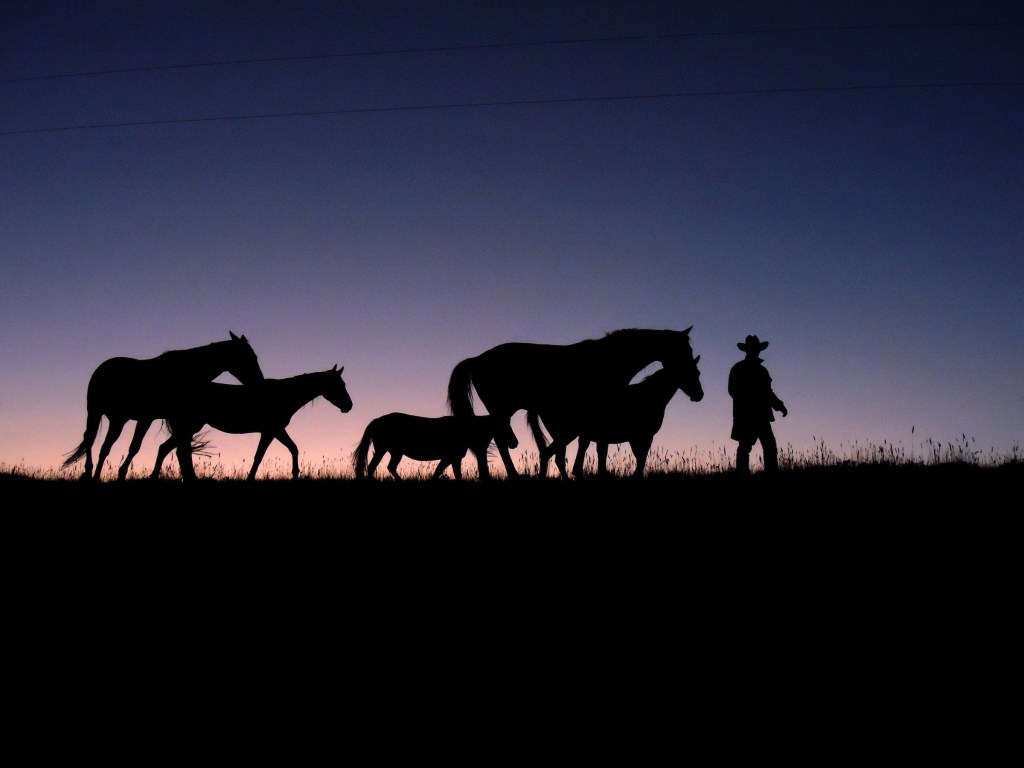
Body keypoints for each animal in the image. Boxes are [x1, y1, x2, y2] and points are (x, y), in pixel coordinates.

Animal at [60, 331, 264, 481]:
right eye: (249, 357)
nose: (260, 382)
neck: (184, 373)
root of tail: (104, 366)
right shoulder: (149, 418)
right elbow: (142, 447)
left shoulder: (168, 419)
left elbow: (155, 447)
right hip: (96, 412)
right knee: (92, 440)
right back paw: (89, 473)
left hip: (119, 418)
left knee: (104, 445)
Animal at [150, 366, 352, 481]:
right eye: (339, 384)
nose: (349, 406)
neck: (284, 394)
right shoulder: (271, 430)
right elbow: (259, 456)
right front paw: (251, 478)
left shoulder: (276, 430)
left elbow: (292, 448)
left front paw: (295, 474)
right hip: (189, 426)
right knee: (171, 449)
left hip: (188, 428)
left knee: (173, 450)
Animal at [352, 415, 516, 481]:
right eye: (505, 426)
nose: (514, 443)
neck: (463, 429)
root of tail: (377, 420)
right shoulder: (449, 457)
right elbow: (442, 471)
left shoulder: (454, 458)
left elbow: (452, 473)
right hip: (384, 450)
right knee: (374, 466)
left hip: (394, 452)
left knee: (388, 467)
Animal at [528, 354, 704, 475]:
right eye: (689, 372)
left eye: (697, 372)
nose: (699, 395)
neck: (647, 396)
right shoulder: (642, 436)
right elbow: (641, 460)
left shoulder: (637, 438)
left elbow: (639, 460)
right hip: (566, 434)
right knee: (549, 455)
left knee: (553, 457)